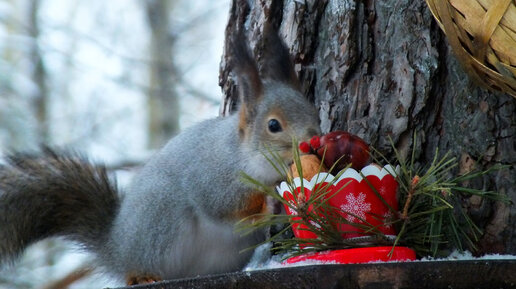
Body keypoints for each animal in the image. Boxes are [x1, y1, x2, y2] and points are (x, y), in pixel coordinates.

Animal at [0, 26, 320, 284]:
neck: (242, 155)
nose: (312, 140)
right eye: (273, 125)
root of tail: (117, 248)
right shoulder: (212, 180)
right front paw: (268, 204)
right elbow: (226, 211)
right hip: (161, 216)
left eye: (314, 112)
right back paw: (142, 275)